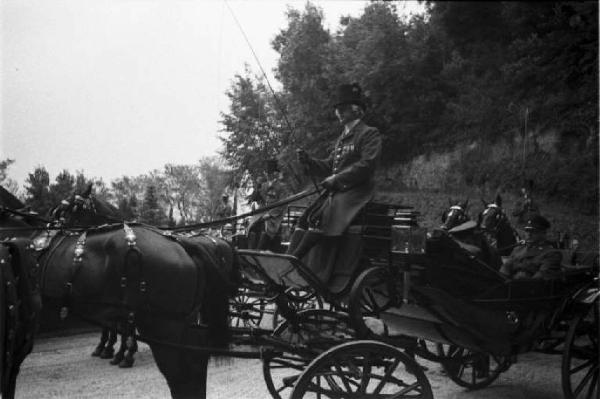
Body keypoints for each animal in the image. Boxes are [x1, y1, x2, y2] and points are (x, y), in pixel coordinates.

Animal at [3, 186, 241, 398]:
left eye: (72, 207)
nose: (54, 223)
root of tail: (182, 244)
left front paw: (121, 353)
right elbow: (114, 327)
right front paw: (111, 349)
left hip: (164, 324)